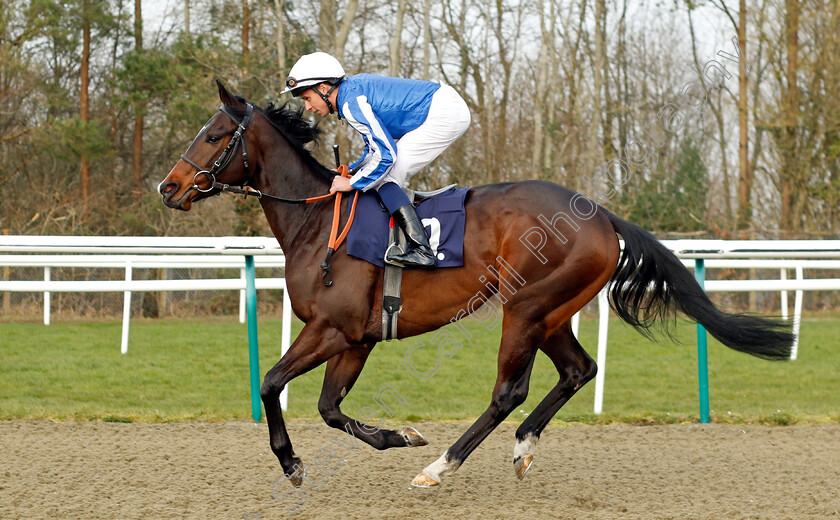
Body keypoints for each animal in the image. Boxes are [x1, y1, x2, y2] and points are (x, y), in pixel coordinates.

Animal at [159, 81, 796, 488]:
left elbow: (271, 383)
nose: (169, 187)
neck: (317, 223)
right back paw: (521, 447)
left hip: (526, 307)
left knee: (509, 391)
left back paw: (441, 466)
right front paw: (401, 436)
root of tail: (601, 216)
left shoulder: (332, 329)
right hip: (549, 311)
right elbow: (329, 407)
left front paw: (292, 465)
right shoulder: (357, 338)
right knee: (577, 370)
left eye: (214, 135)